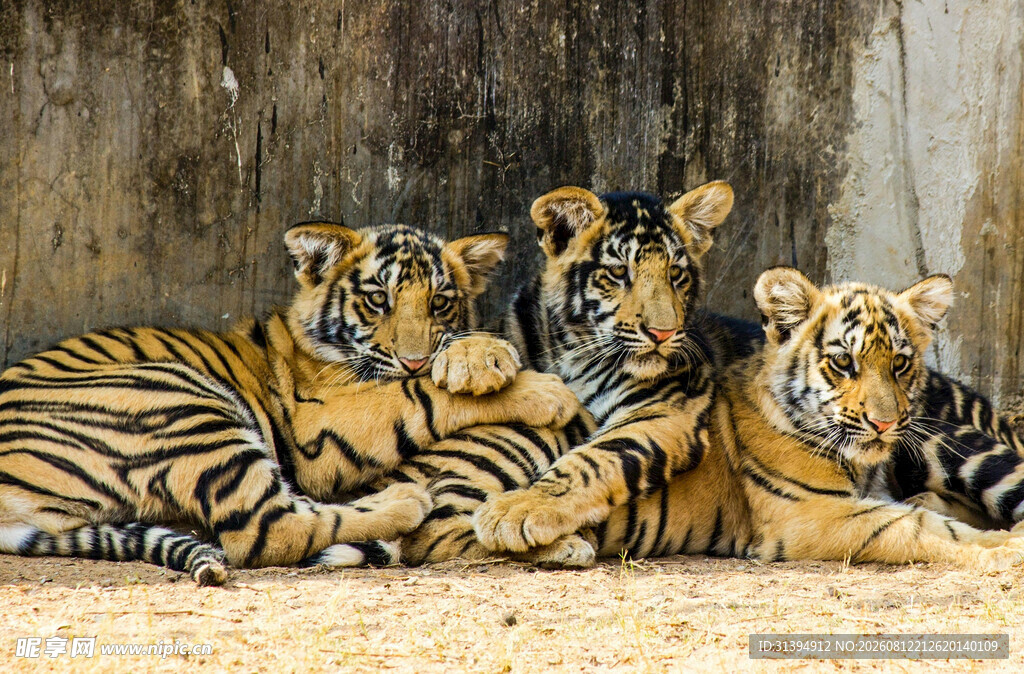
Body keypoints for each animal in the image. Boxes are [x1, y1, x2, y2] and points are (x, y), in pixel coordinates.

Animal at [0, 221, 580, 584]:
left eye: (440, 303)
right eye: (378, 300)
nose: (415, 358)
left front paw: (477, 355)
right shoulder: (319, 428)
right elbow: (416, 396)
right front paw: (545, 391)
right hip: (178, 398)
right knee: (270, 531)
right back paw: (405, 502)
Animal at [473, 264, 1024, 569]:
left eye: (900, 364)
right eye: (843, 362)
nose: (886, 425)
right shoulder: (810, 516)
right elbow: (919, 529)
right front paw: (1003, 550)